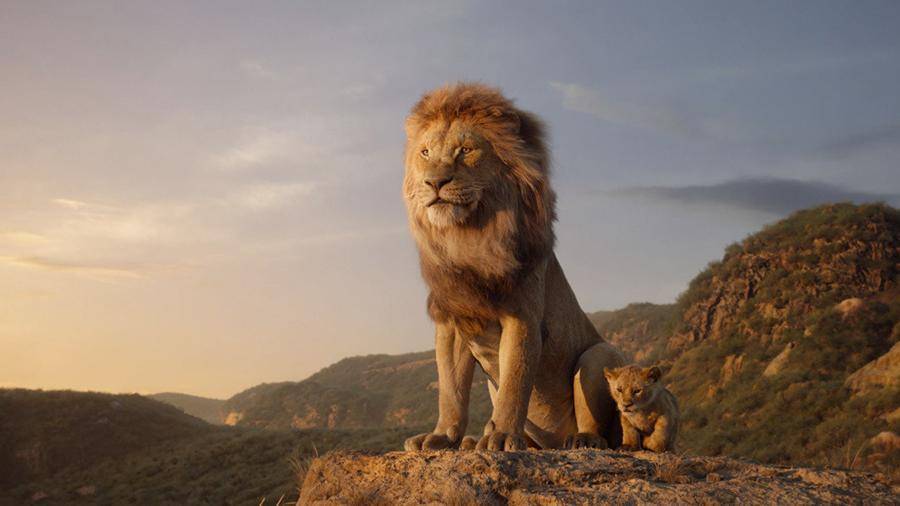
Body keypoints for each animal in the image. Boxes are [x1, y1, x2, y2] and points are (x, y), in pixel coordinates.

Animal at [401, 82, 625, 451]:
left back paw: (581, 440)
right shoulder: (452, 321)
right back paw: (473, 441)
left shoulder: (522, 316)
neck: (468, 237)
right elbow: (450, 390)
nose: (435, 183)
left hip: (598, 355)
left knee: (601, 427)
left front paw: (503, 436)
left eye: (466, 150)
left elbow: (514, 383)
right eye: (425, 153)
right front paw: (442, 436)